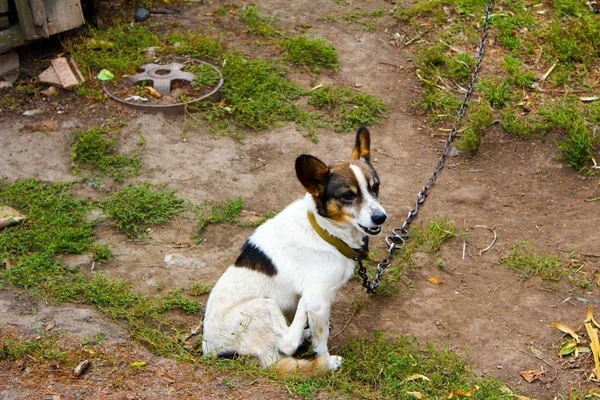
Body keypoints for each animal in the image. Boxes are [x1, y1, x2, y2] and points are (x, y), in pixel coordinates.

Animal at [202, 126, 386, 376]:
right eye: (348, 195)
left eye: (375, 187)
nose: (381, 217)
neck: (325, 232)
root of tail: (214, 352)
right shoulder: (319, 300)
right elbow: (322, 343)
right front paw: (327, 363)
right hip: (263, 305)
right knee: (287, 344)